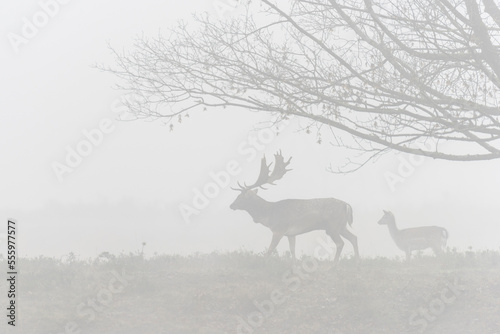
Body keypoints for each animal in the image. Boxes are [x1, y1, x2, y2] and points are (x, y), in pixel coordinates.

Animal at [230, 151, 360, 264]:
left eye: (240, 197)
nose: (231, 205)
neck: (269, 215)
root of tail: (346, 205)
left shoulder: (279, 229)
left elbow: (270, 249)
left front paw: (260, 263)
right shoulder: (291, 233)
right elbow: (292, 250)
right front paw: (294, 264)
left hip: (332, 226)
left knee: (340, 243)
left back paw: (334, 264)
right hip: (341, 226)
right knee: (354, 237)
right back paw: (356, 261)